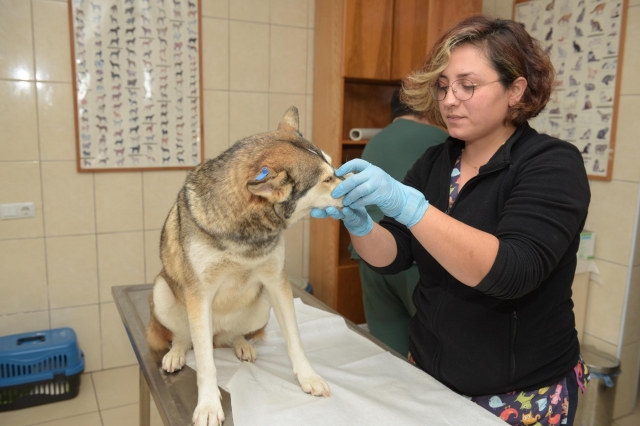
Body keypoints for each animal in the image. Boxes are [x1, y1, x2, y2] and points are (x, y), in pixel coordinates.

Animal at [148, 105, 340, 422]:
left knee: (232, 335)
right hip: (162, 293)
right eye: (326, 180)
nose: (355, 180)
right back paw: (176, 354)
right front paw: (209, 406)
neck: (245, 231)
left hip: (262, 305)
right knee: (185, 338)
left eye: (334, 169)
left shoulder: (277, 282)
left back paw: (242, 345)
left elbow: (295, 340)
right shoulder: (199, 294)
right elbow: (206, 365)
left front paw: (308, 378)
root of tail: (217, 335)